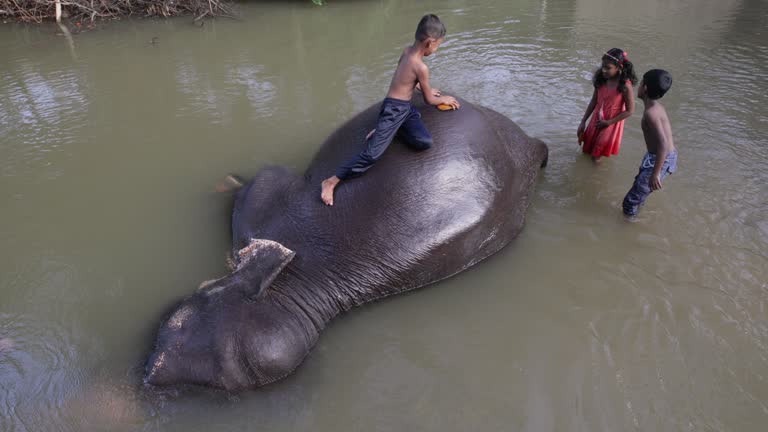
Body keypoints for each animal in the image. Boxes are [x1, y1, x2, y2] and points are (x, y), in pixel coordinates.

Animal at [144, 96, 548, 394]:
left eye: (177, 322)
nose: (148, 376)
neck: (300, 282)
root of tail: (527, 140)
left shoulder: (268, 205)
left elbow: (261, 178)